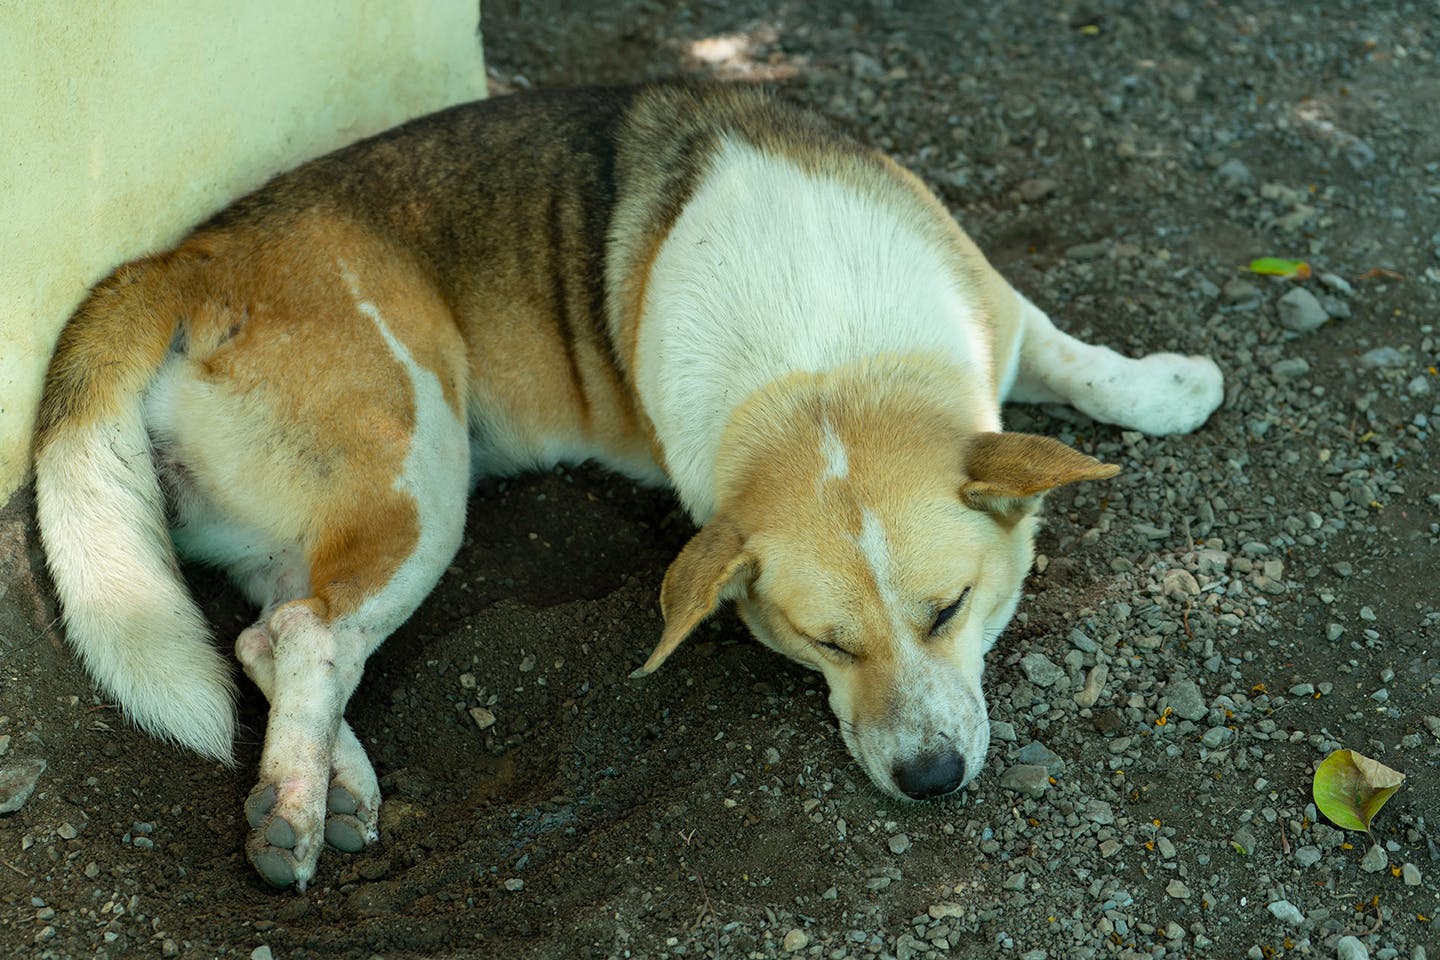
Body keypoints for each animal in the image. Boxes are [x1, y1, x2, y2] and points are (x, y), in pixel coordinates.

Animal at [33, 84, 1221, 892]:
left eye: (951, 608)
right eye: (826, 644)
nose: (928, 780)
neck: (821, 364)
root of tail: (189, 260)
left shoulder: (992, 314)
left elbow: (1069, 357)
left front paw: (1167, 389)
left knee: (272, 633)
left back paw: (340, 783)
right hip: (418, 471)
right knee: (308, 634)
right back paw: (292, 807)